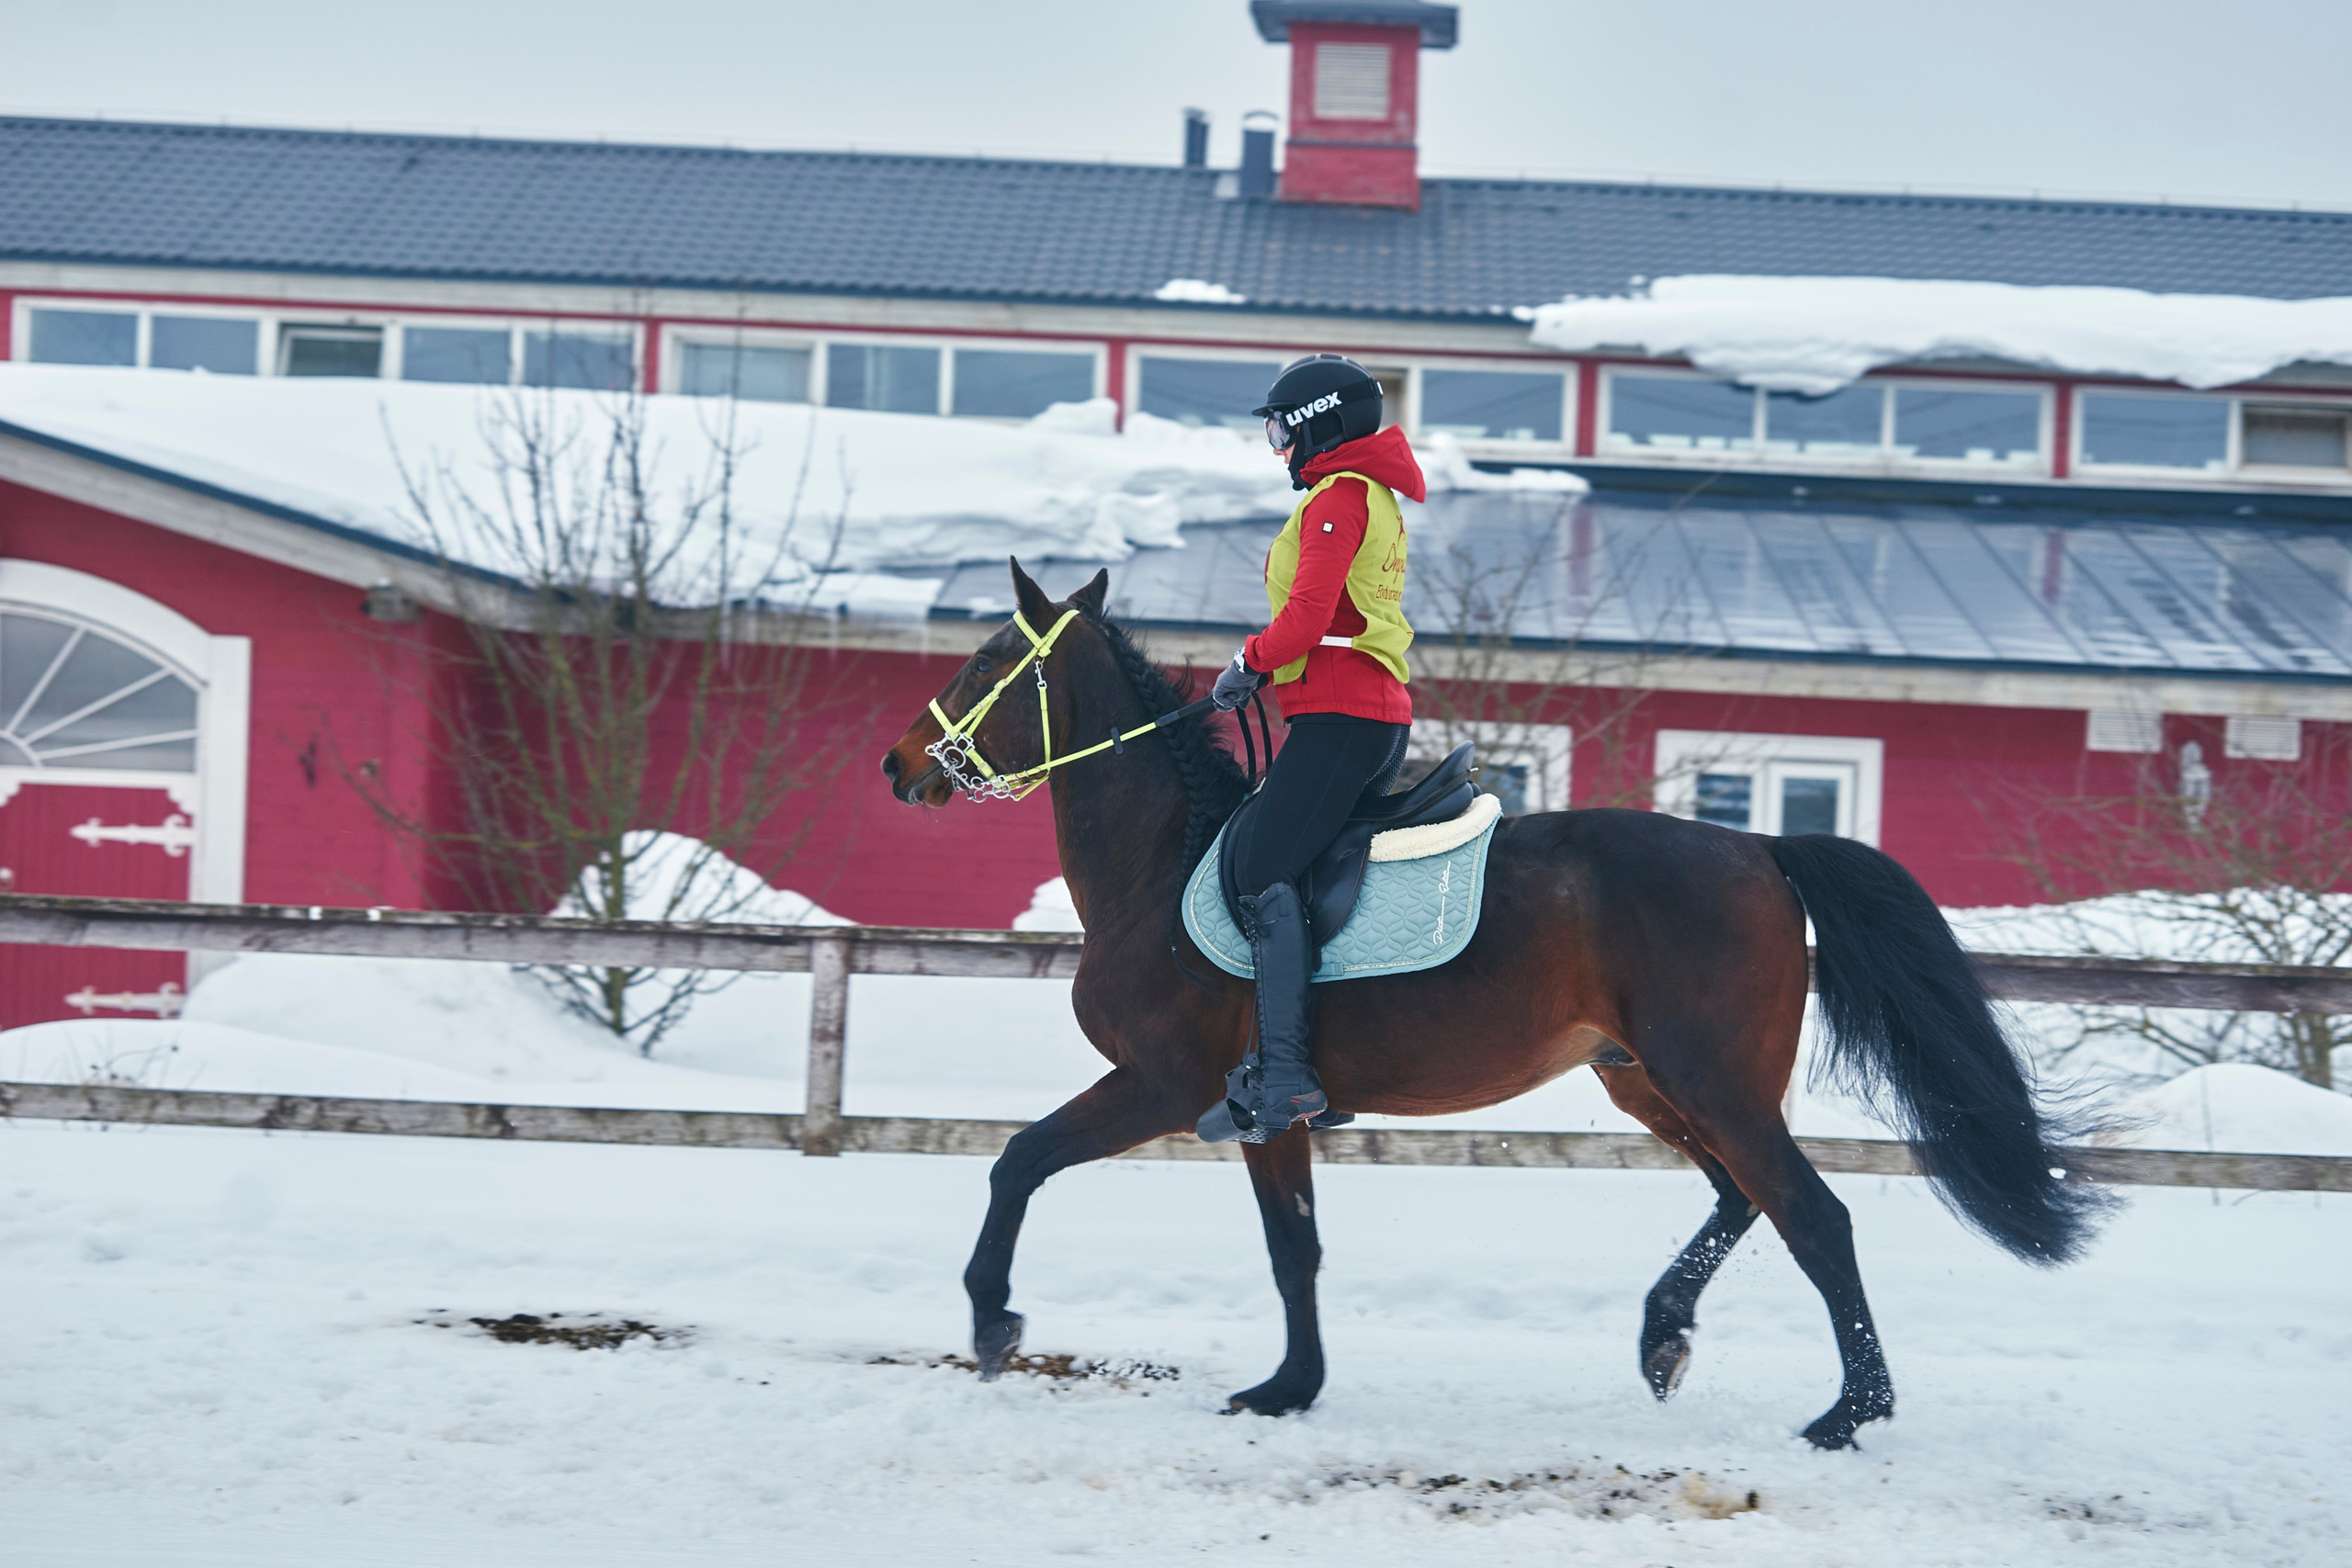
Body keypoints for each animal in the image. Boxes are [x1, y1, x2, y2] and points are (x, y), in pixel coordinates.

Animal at [879, 560, 2110, 1449]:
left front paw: (992, 1321)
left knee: (1813, 1217)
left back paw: (1847, 1413)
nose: (898, 766)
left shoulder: (1159, 1087)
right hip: (1650, 1083)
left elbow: (1019, 1162)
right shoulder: (1265, 1115)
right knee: (1740, 1199)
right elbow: (1294, 1248)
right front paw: (1290, 1388)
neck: (1161, 862)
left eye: (989, 657)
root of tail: (1760, 847)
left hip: (1710, 1080)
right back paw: (1664, 1338)